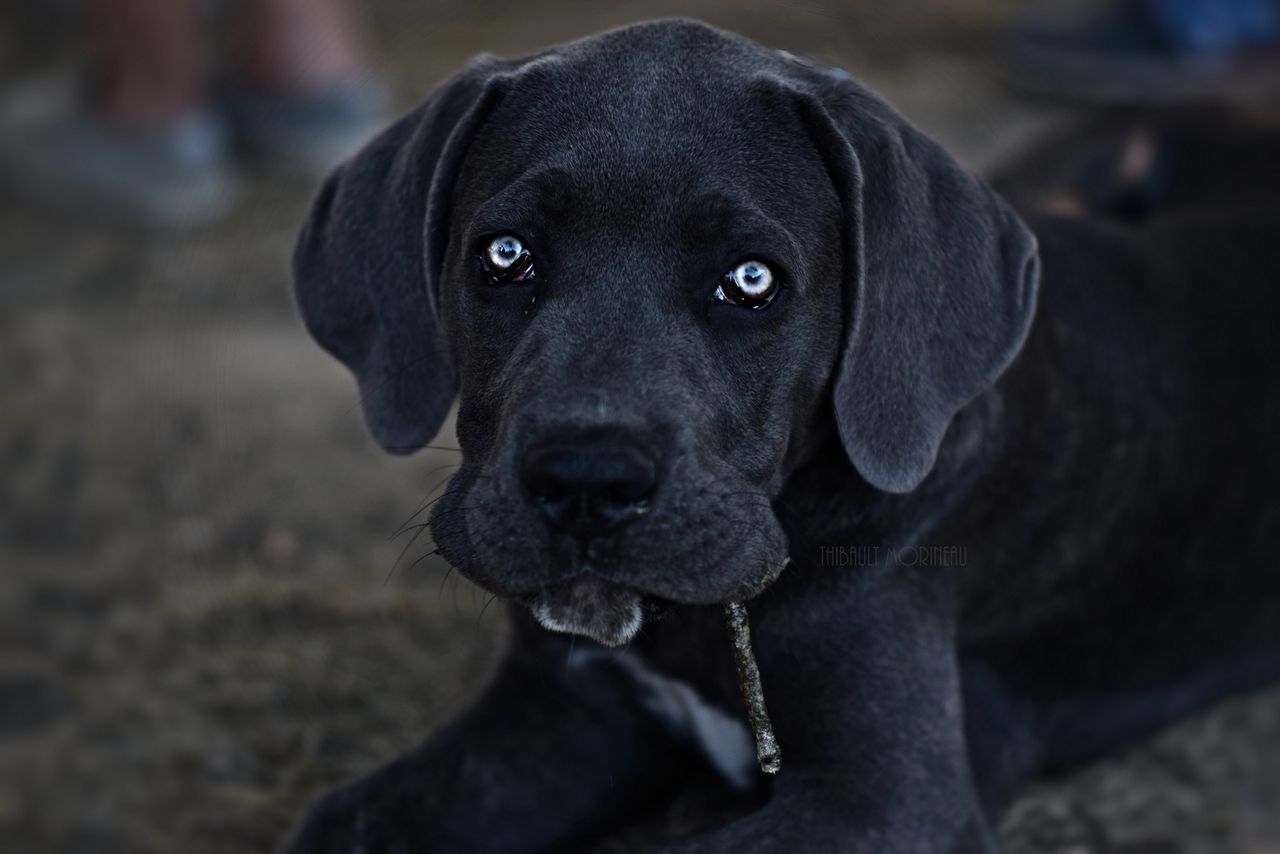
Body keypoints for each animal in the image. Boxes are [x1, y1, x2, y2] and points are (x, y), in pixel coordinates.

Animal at [282, 20, 1280, 854]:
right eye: (505, 254)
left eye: (752, 279)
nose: (587, 482)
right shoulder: (556, 710)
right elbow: (348, 821)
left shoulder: (883, 799)